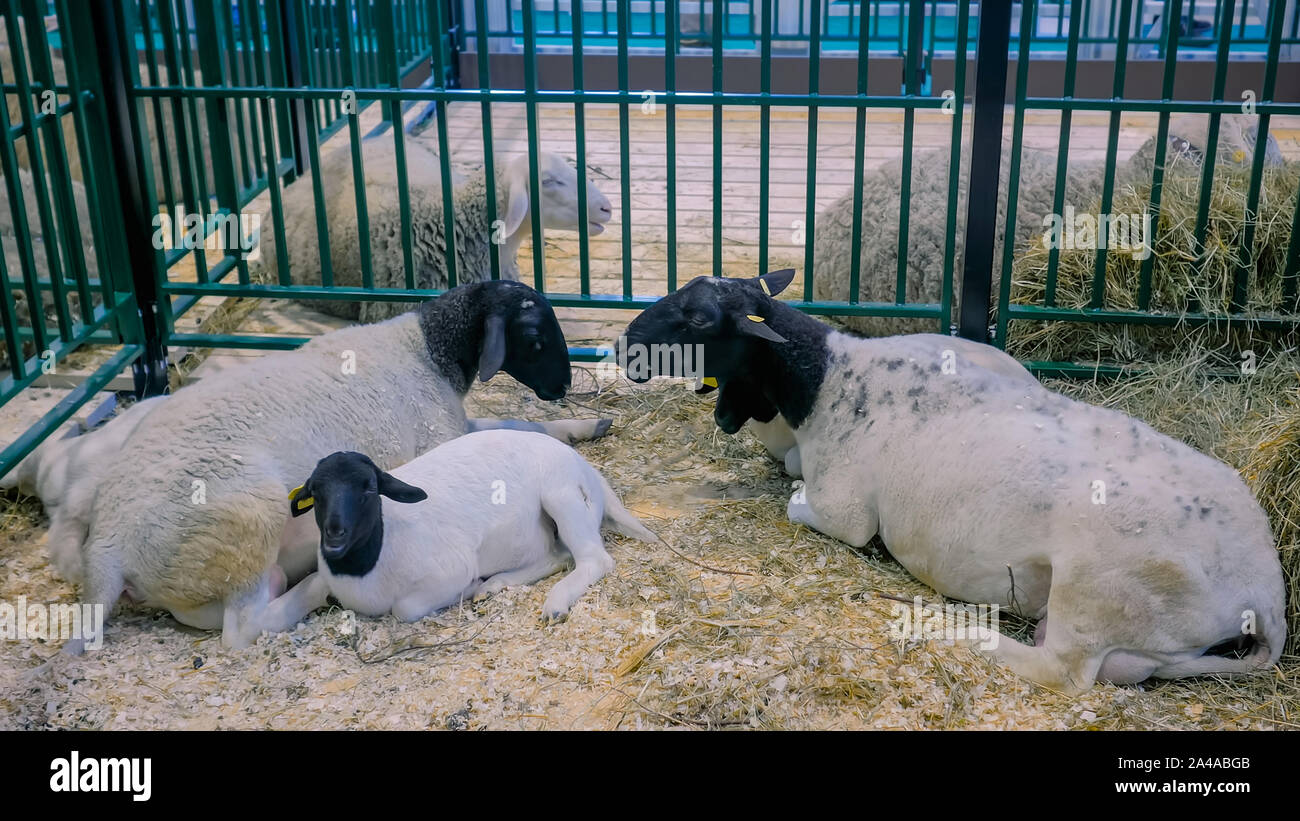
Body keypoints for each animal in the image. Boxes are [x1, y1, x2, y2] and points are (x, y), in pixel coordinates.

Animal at [55, 281, 598, 654]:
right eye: (534, 336)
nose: (563, 387)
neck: (427, 353)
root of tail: (108, 547)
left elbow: (513, 422)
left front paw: (587, 424)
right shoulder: (440, 436)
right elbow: (511, 428)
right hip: (244, 525)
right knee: (242, 628)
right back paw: (303, 592)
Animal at [233, 426, 655, 644]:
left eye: (369, 489)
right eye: (315, 494)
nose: (335, 538)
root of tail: (589, 471)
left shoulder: (448, 570)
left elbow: (405, 609)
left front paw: (468, 589)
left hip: (562, 495)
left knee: (593, 558)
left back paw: (553, 603)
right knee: (558, 555)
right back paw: (495, 585)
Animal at [621, 272, 1289, 696]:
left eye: (698, 317)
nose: (625, 344)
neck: (829, 380)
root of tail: (1266, 595)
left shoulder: (843, 511)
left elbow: (800, 503)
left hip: (1100, 586)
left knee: (1063, 670)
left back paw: (969, 637)